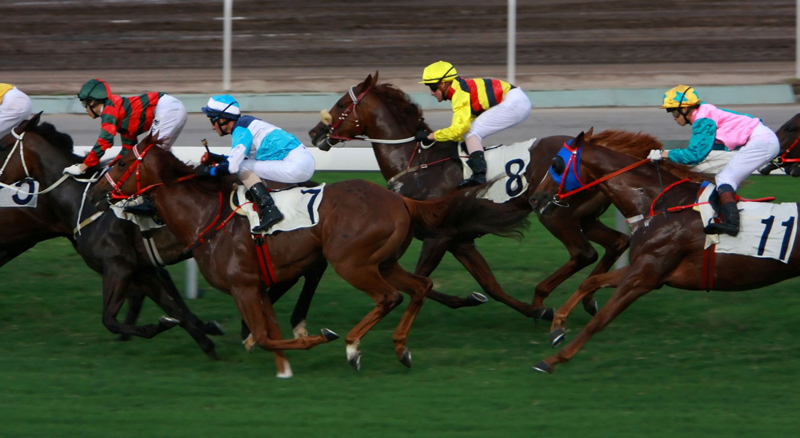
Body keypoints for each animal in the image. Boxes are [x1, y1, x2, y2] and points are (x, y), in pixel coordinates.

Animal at [0, 114, 324, 372]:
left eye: (3, 145)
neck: (83, 204)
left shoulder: (118, 266)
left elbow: (110, 319)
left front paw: (164, 326)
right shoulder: (142, 270)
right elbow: (176, 308)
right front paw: (206, 337)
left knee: (308, 271)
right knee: (306, 270)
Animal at [89, 135, 532, 372]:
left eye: (123, 160)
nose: (97, 190)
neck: (205, 216)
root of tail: (400, 200)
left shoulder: (244, 286)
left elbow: (265, 337)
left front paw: (318, 339)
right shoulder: (257, 287)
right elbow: (268, 333)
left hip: (351, 261)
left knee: (389, 296)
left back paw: (352, 346)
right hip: (384, 261)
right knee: (420, 286)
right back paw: (401, 348)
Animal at [310, 71, 636, 318]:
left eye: (340, 104)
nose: (315, 134)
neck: (418, 163)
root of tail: (595, 146)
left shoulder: (438, 235)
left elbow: (422, 279)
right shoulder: (460, 239)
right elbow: (490, 285)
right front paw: (515, 307)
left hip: (555, 213)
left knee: (584, 252)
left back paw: (544, 293)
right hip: (585, 215)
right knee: (617, 242)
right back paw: (589, 298)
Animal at [528, 130, 800, 372]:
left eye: (556, 163)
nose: (535, 198)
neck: (659, 205)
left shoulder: (644, 276)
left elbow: (600, 319)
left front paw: (552, 360)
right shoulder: (645, 268)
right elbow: (591, 282)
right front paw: (557, 327)